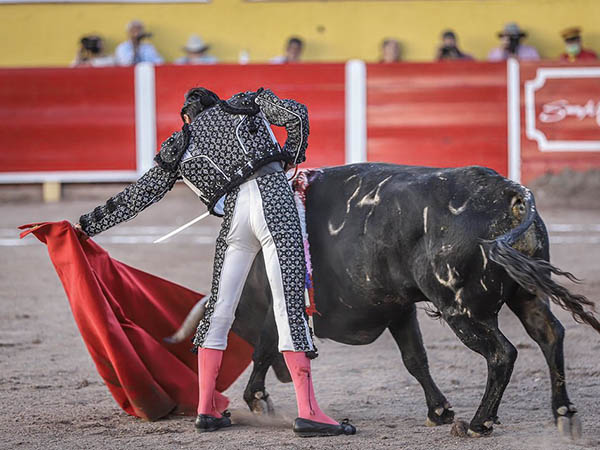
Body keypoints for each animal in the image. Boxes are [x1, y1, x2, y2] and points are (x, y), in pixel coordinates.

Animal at [170, 163, 600, 440]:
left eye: (239, 321)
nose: (281, 380)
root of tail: (507, 192)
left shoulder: (279, 307)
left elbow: (263, 348)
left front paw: (256, 399)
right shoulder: (399, 307)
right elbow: (415, 359)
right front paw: (439, 410)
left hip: (461, 309)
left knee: (502, 353)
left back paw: (480, 423)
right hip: (527, 293)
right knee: (550, 335)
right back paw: (563, 413)